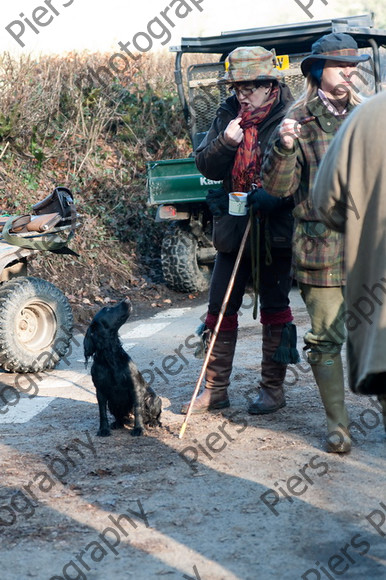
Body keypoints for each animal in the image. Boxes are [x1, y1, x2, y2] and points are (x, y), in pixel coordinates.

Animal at [83, 300, 162, 436]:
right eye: (107, 309)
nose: (127, 299)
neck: (110, 358)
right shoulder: (100, 391)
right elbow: (102, 413)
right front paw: (103, 429)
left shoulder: (135, 387)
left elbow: (137, 409)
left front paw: (138, 428)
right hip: (112, 404)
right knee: (120, 417)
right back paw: (117, 423)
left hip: (152, 399)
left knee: (155, 416)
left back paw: (153, 423)